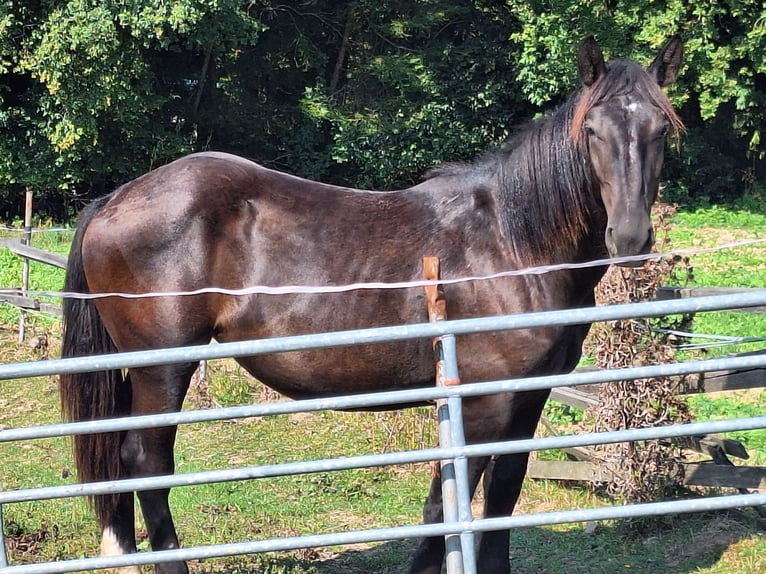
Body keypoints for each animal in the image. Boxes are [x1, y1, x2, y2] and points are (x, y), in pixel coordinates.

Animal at [60, 37, 684, 574]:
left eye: (662, 130)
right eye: (593, 130)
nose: (630, 237)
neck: (511, 245)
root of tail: (114, 199)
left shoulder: (529, 398)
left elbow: (502, 496)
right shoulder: (483, 402)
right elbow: (447, 501)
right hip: (163, 367)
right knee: (147, 464)